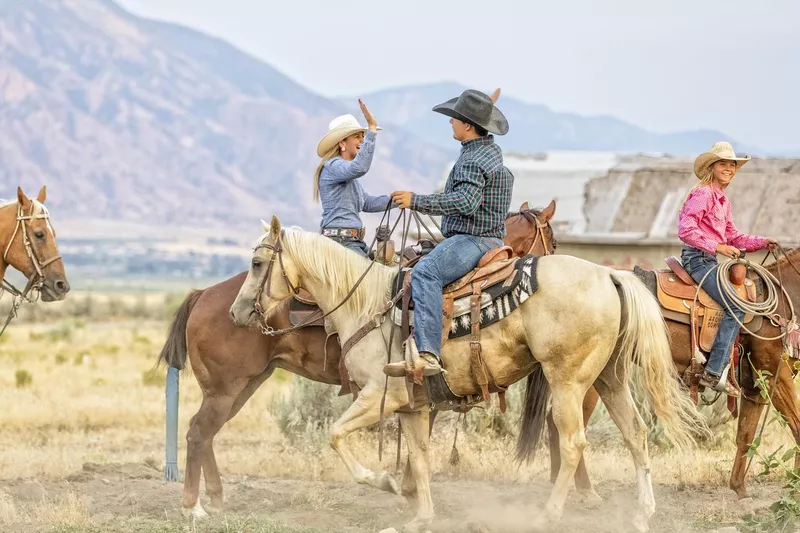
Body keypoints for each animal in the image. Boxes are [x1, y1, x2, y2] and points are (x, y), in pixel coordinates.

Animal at [155, 203, 556, 520]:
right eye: (551, 240)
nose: (239, 312)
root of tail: (204, 294)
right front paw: (404, 490)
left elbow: (418, 447)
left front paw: (409, 492)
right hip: (225, 389)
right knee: (197, 433)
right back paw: (193, 506)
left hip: (242, 387)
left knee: (205, 433)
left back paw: (215, 499)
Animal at [227, 216, 708, 532]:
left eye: (256, 263)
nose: (236, 313)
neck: (367, 305)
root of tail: (610, 275)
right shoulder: (412, 406)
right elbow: (420, 458)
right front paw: (420, 516)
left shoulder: (379, 395)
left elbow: (336, 434)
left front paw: (384, 482)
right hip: (609, 379)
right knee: (636, 434)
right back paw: (640, 514)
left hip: (568, 381)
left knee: (573, 443)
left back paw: (548, 515)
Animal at [548, 247, 800, 500]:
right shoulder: (776, 376)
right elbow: (796, 427)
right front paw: (795, 484)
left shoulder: (755, 386)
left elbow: (746, 435)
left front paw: (740, 489)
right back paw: (585, 490)